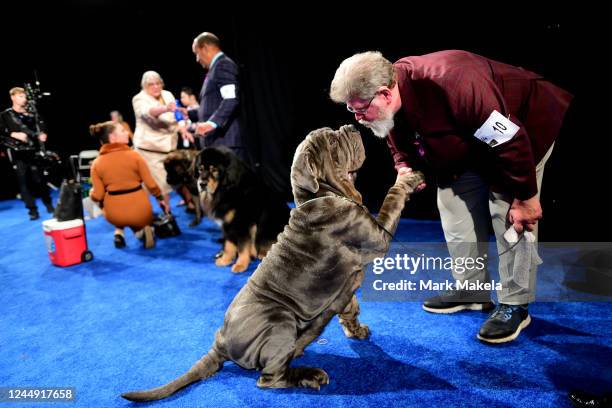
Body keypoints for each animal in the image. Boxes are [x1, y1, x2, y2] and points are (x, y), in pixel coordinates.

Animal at [122, 125, 424, 402]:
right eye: (332, 142)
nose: (350, 126)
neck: (319, 195)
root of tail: (220, 342)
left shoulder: (346, 284)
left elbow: (350, 307)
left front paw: (356, 329)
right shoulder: (378, 235)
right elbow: (391, 199)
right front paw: (409, 179)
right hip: (280, 321)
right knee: (269, 378)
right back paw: (309, 374)